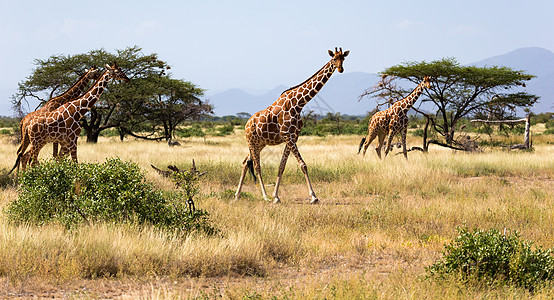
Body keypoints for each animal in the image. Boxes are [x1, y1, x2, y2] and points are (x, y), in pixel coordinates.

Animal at [234, 47, 348, 204]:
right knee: (256, 166)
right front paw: (313, 197)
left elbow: (282, 166)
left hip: (259, 143)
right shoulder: (287, 135)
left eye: (343, 58)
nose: (341, 68)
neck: (298, 104)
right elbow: (303, 164)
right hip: (252, 141)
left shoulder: (293, 136)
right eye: (334, 59)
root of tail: (246, 124)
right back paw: (264, 196)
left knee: (246, 162)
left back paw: (237, 195)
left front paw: (276, 196)